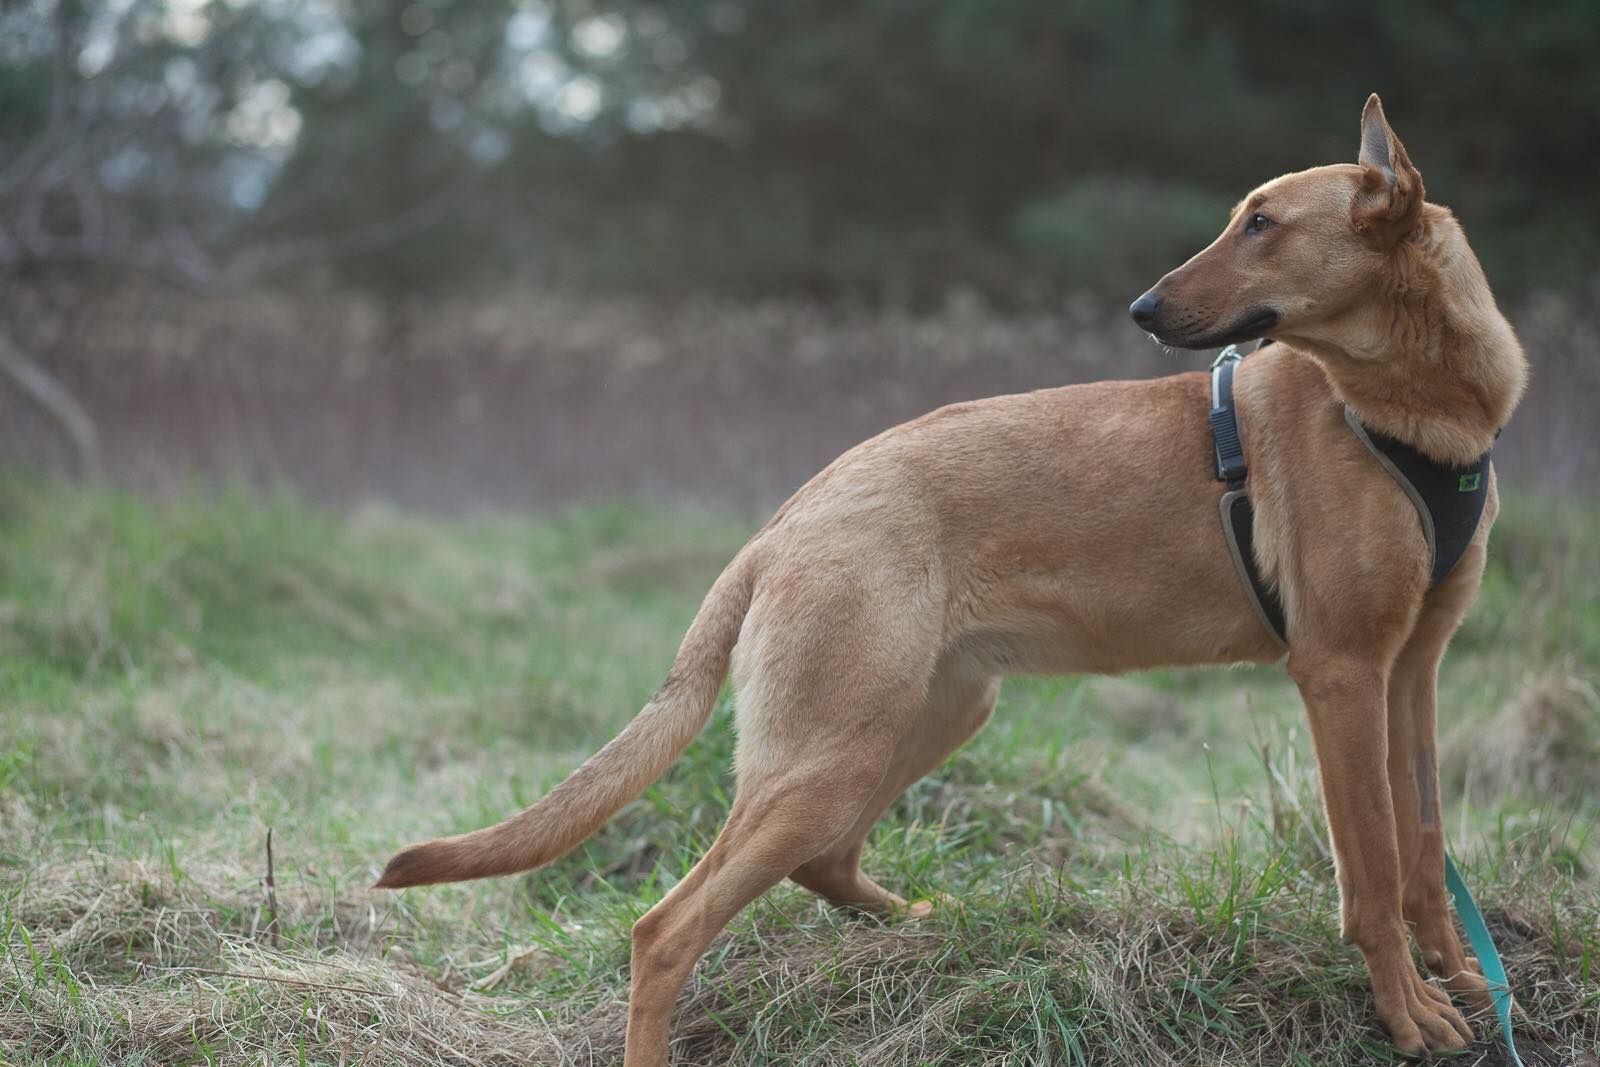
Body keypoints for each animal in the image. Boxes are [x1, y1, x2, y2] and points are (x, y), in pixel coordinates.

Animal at [374, 95, 1523, 1062]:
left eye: (1263, 225)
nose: (1141, 306)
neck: (1414, 408)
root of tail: (787, 518)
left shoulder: (1409, 670)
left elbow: (1422, 852)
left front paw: (1465, 979)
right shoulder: (1338, 673)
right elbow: (1370, 874)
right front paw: (1410, 1016)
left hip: (925, 716)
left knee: (822, 864)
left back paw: (933, 925)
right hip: (833, 750)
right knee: (665, 928)